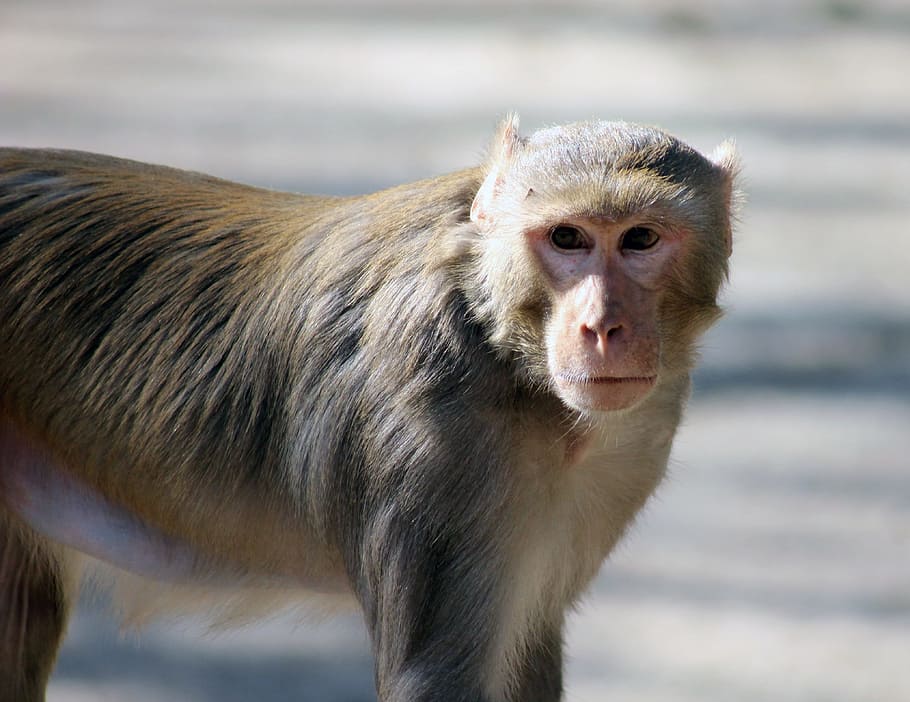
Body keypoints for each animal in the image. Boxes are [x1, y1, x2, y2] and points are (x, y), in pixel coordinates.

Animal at [0, 115, 737, 702]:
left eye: (640, 240)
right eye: (567, 238)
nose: (602, 327)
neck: (502, 344)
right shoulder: (434, 445)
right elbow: (434, 678)